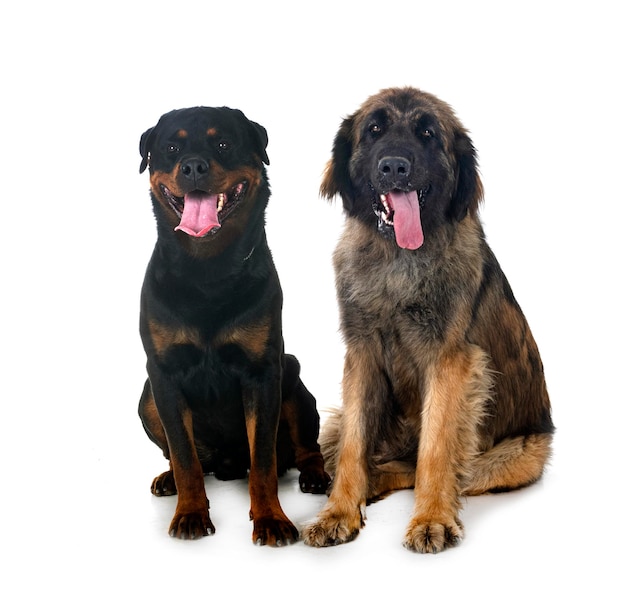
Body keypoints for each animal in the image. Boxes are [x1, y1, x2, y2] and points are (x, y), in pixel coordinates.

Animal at [137, 107, 330, 548]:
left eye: (223, 143)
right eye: (171, 148)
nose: (193, 165)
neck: (208, 270)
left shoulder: (262, 373)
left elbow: (263, 461)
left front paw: (271, 519)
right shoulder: (163, 374)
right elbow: (185, 456)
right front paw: (190, 513)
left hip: (293, 379)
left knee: (305, 447)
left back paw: (315, 475)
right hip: (146, 397)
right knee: (182, 455)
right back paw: (167, 479)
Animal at [302, 87, 552, 552]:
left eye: (428, 134)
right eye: (374, 129)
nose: (395, 166)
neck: (397, 261)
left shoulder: (451, 362)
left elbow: (435, 451)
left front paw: (431, 519)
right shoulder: (361, 356)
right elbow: (353, 447)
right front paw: (339, 512)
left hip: (517, 454)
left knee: (426, 466)